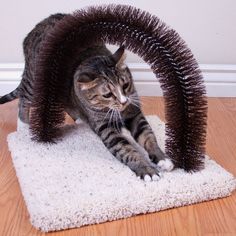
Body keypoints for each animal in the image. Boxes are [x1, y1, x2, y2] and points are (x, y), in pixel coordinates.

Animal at [0, 12, 173, 181]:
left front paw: (161, 158)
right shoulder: (106, 128)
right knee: (24, 98)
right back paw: (24, 124)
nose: (123, 101)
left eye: (125, 86)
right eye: (107, 94)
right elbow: (126, 150)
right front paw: (146, 169)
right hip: (35, 80)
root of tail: (36, 28)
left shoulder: (134, 112)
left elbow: (148, 136)